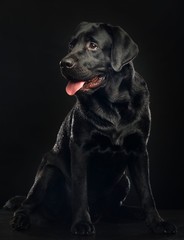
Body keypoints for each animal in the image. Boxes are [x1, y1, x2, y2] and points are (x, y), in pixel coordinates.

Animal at [4, 21, 177, 235]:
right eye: (71, 45)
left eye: (93, 45)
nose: (63, 63)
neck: (114, 104)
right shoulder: (80, 148)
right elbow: (81, 191)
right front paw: (81, 223)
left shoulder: (139, 150)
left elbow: (147, 193)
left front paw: (157, 222)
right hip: (48, 171)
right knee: (27, 204)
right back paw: (22, 219)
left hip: (124, 181)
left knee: (114, 209)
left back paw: (134, 212)